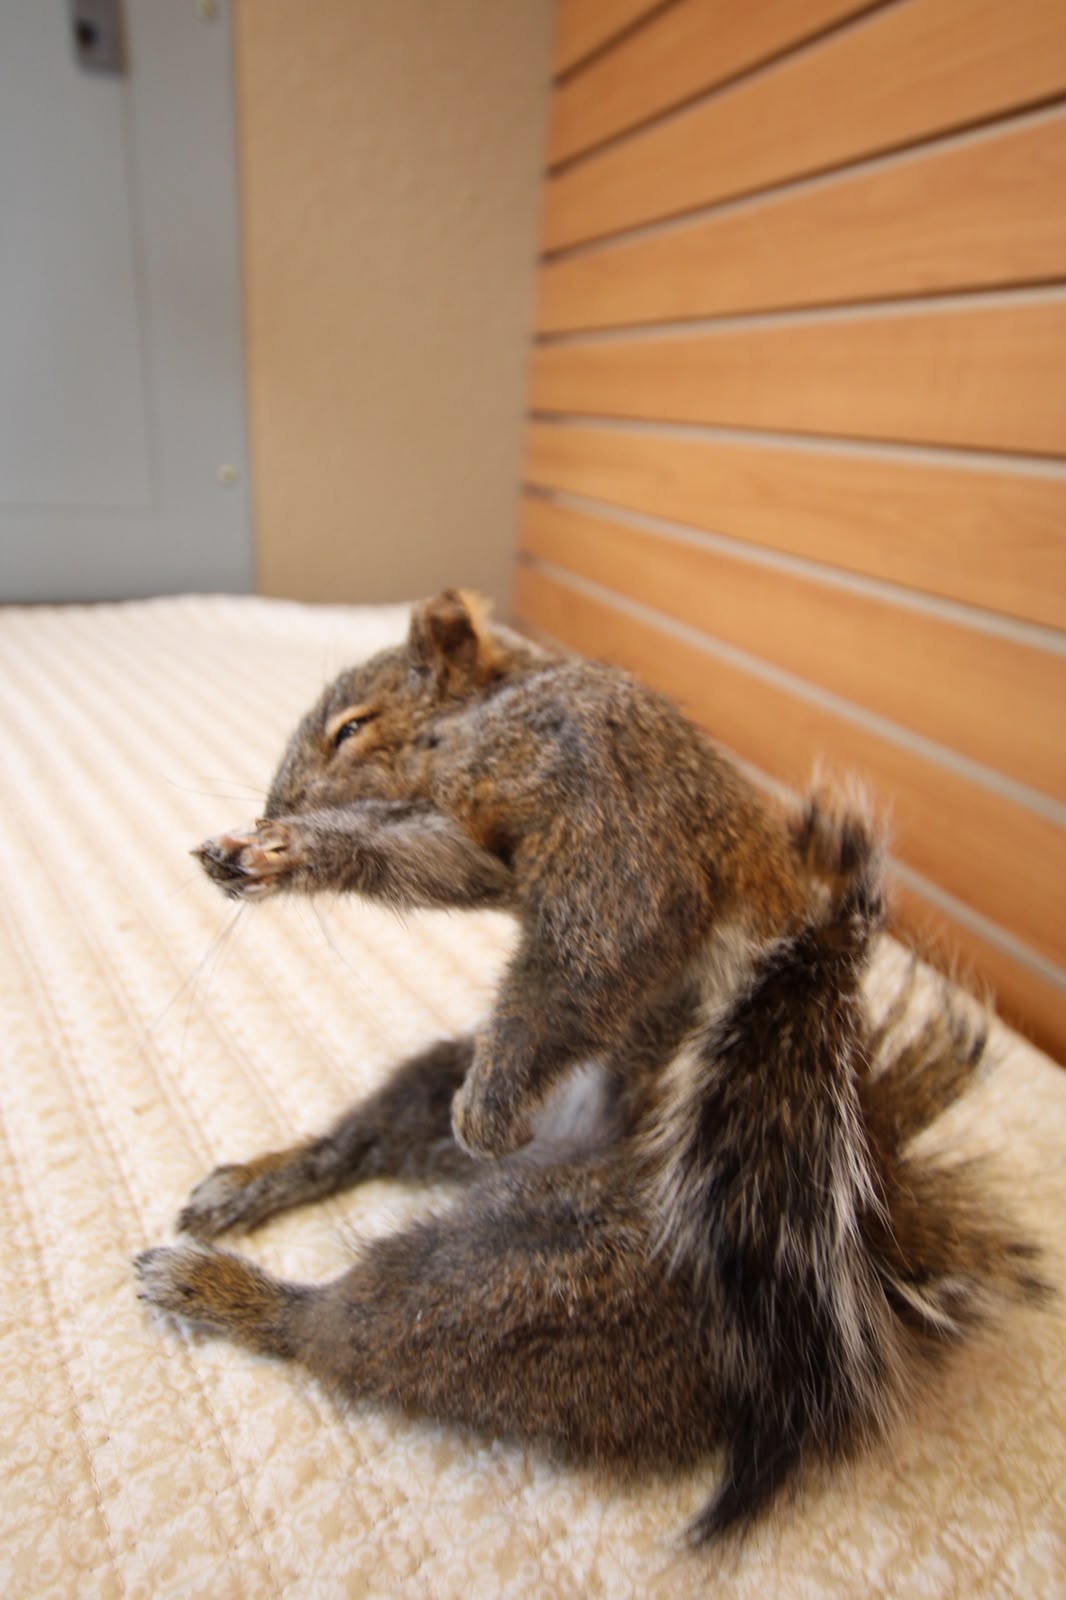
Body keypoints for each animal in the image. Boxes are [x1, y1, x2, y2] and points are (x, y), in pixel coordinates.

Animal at [135, 588, 1045, 1545]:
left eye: (353, 727)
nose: (278, 802)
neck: (483, 714)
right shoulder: (478, 841)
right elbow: (424, 860)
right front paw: (273, 851)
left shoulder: (605, 790)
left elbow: (605, 930)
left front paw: (490, 1108)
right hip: (432, 1098)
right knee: (360, 1146)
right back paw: (250, 1185)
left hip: (546, 1285)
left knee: (346, 1328)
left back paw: (224, 1288)